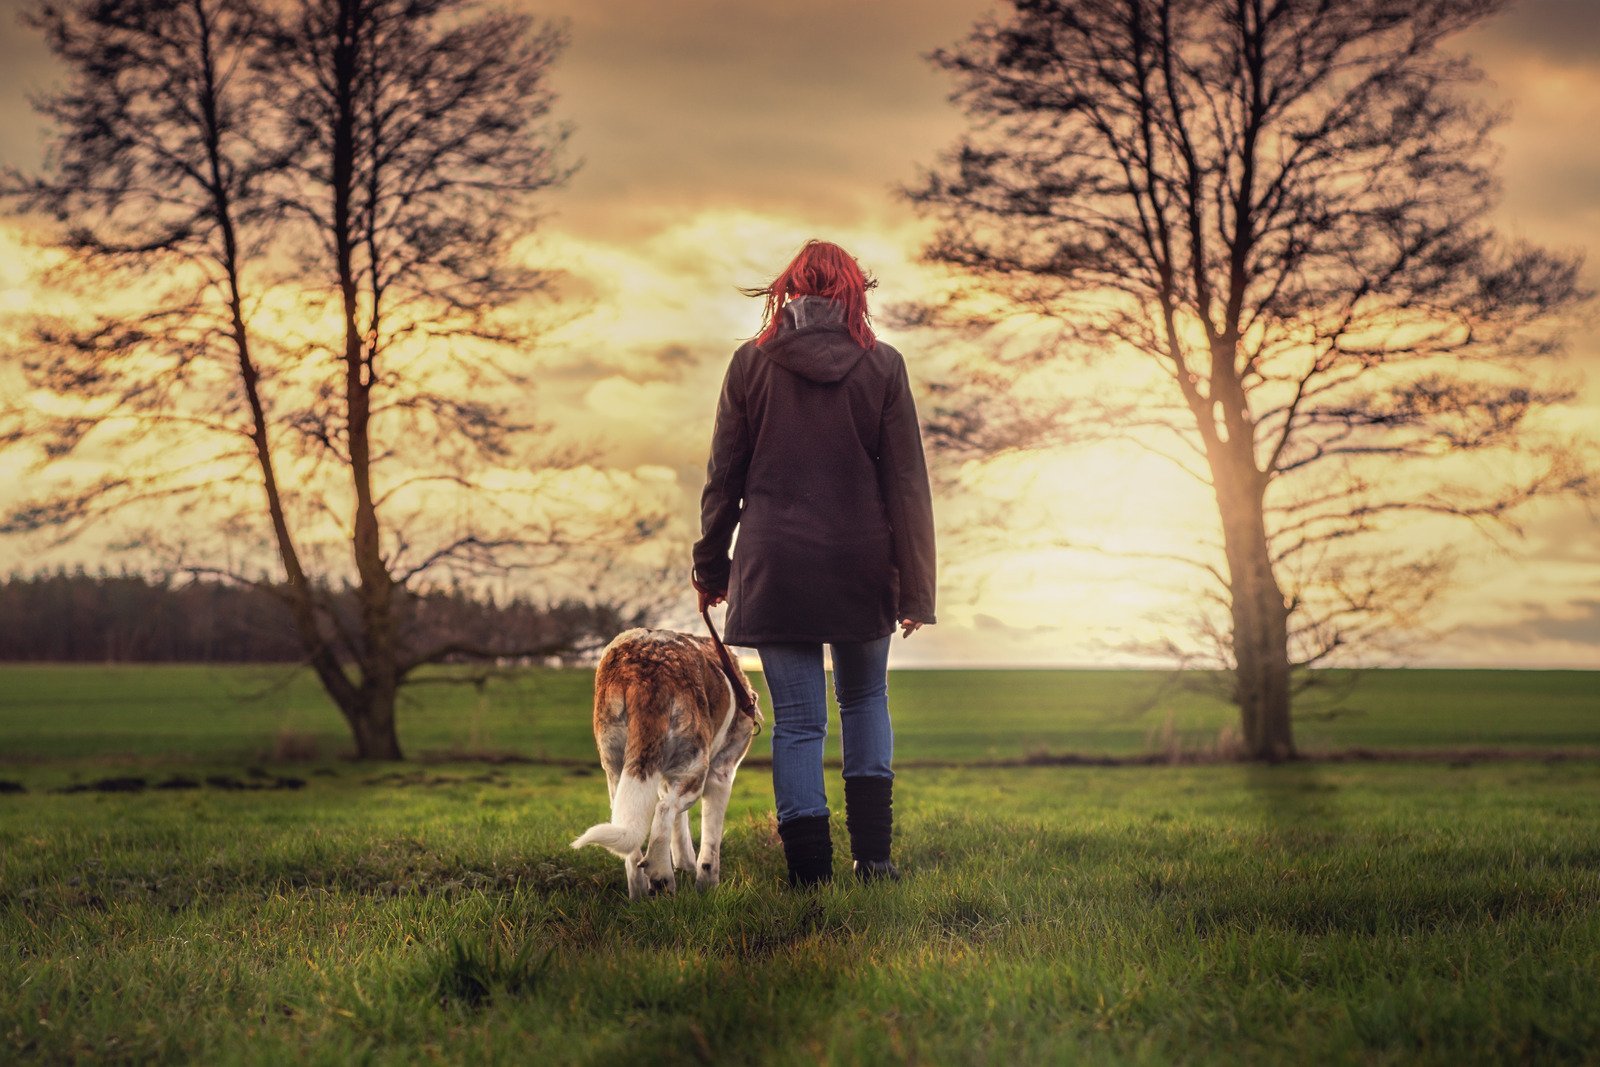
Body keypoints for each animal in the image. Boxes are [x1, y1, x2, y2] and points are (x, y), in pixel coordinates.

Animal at [569, 630, 761, 895]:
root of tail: (643, 672)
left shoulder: (664, 780)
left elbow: (680, 829)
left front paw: (686, 863)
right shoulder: (721, 775)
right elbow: (710, 844)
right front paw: (707, 886)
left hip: (617, 770)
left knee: (634, 844)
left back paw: (639, 894)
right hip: (695, 769)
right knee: (664, 812)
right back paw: (662, 876)